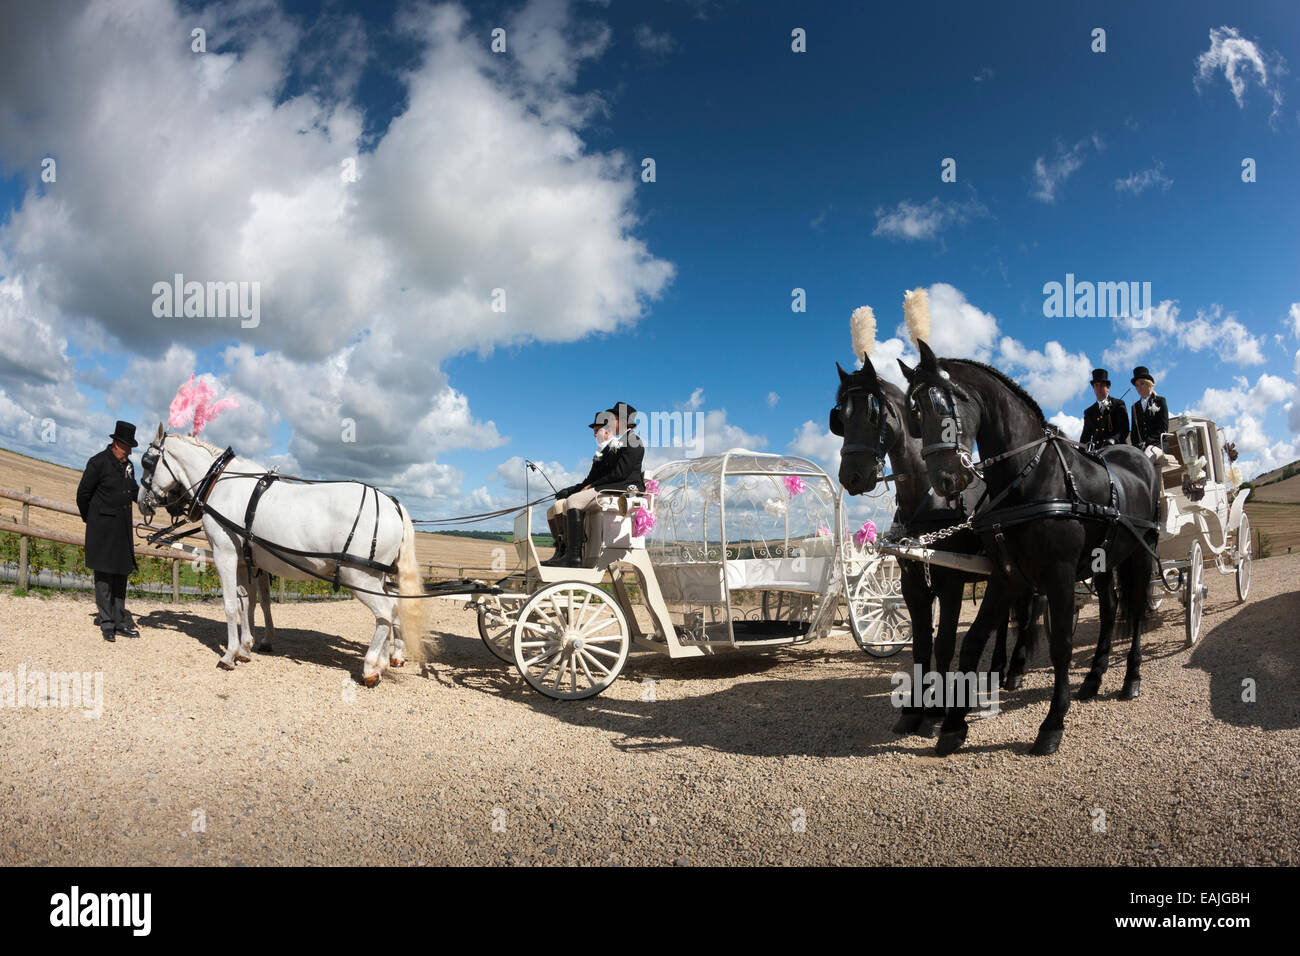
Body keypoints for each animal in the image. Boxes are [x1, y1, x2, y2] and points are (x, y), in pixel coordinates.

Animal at [139, 421, 428, 686]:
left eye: (146, 461)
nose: (142, 501)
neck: (221, 483)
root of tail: (393, 505)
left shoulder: (225, 554)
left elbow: (231, 605)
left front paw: (229, 654)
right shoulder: (245, 561)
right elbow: (246, 603)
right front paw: (245, 648)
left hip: (358, 576)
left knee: (386, 611)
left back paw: (370, 667)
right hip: (376, 577)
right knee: (390, 611)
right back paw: (383, 661)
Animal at [832, 356, 1045, 738]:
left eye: (872, 412)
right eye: (840, 415)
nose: (851, 476)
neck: (927, 501)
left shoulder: (951, 585)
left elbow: (944, 644)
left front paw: (936, 710)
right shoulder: (912, 586)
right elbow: (920, 645)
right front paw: (914, 710)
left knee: (1027, 613)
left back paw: (1016, 672)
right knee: (1002, 619)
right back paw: (997, 669)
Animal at [899, 343, 1164, 754]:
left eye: (944, 402)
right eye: (914, 412)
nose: (944, 480)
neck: (1029, 476)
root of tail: (1138, 457)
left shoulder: (1059, 574)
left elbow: (1061, 646)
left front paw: (1053, 723)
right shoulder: (1006, 576)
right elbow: (973, 642)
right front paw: (953, 726)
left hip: (1140, 553)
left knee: (1135, 612)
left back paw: (1131, 678)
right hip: (1105, 562)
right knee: (1109, 611)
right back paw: (1093, 678)